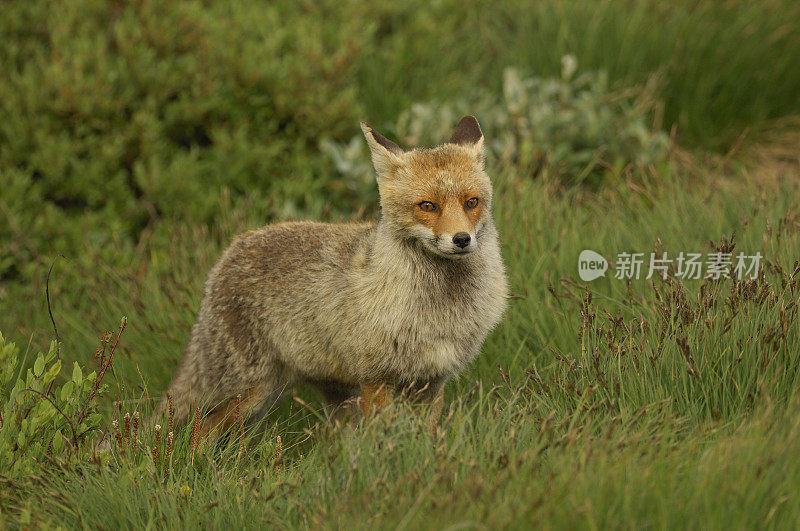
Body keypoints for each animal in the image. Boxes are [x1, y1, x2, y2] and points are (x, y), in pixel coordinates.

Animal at [164, 116, 506, 436]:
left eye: (471, 202)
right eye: (428, 206)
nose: (461, 239)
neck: (439, 310)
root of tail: (230, 250)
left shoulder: (431, 380)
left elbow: (426, 438)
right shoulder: (375, 377)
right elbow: (384, 438)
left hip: (323, 396)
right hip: (249, 394)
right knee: (197, 432)